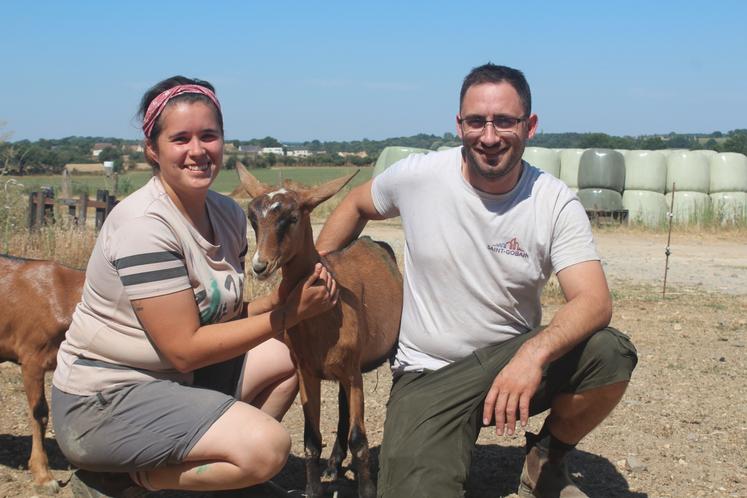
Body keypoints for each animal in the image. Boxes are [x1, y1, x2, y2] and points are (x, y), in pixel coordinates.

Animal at [237, 165, 403, 498]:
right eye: (252, 217)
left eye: (292, 217)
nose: (260, 266)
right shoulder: (307, 371)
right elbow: (311, 440)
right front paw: (314, 488)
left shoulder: (352, 372)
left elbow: (359, 440)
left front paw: (367, 488)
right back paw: (334, 465)